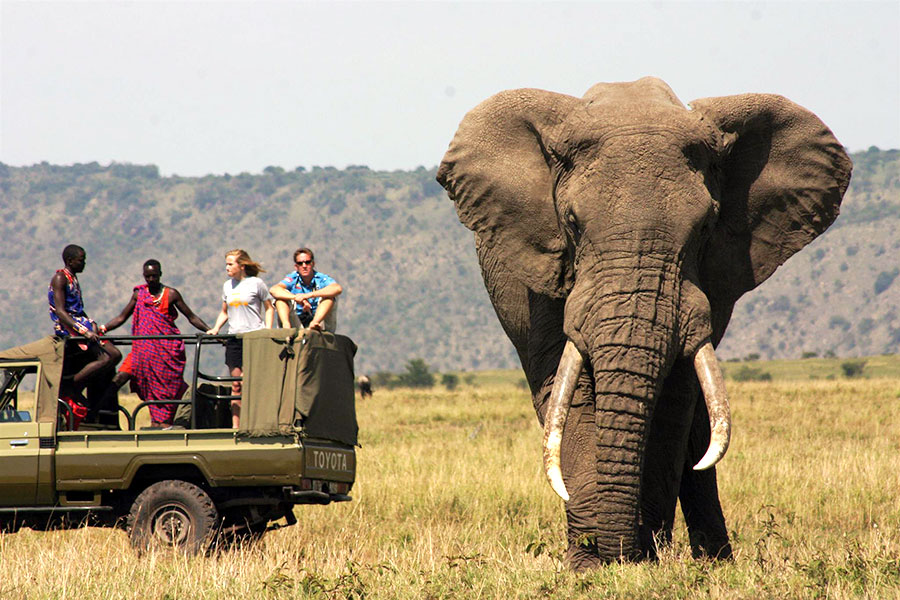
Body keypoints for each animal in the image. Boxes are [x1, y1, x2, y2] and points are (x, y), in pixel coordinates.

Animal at [436, 77, 852, 568]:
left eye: (706, 228)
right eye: (571, 224)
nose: (620, 553)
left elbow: (672, 399)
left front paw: (642, 560)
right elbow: (571, 388)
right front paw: (591, 566)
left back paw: (715, 562)